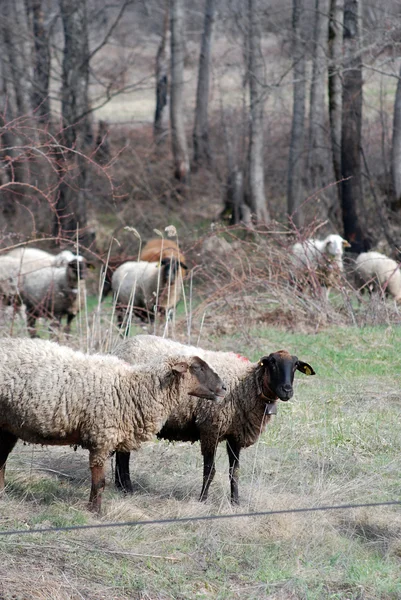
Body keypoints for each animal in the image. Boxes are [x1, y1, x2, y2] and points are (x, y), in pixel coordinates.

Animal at [0, 338, 225, 510]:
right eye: (197, 367)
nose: (224, 387)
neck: (134, 388)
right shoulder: (101, 437)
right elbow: (100, 482)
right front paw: (95, 512)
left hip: (8, 427)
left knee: (1, 462)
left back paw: (2, 494)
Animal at [111, 336, 314, 504]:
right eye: (272, 363)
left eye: (295, 365)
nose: (287, 390)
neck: (245, 383)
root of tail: (121, 346)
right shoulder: (210, 428)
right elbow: (210, 470)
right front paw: (203, 499)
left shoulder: (235, 434)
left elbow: (235, 471)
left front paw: (235, 502)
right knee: (124, 455)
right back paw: (127, 489)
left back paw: (120, 486)